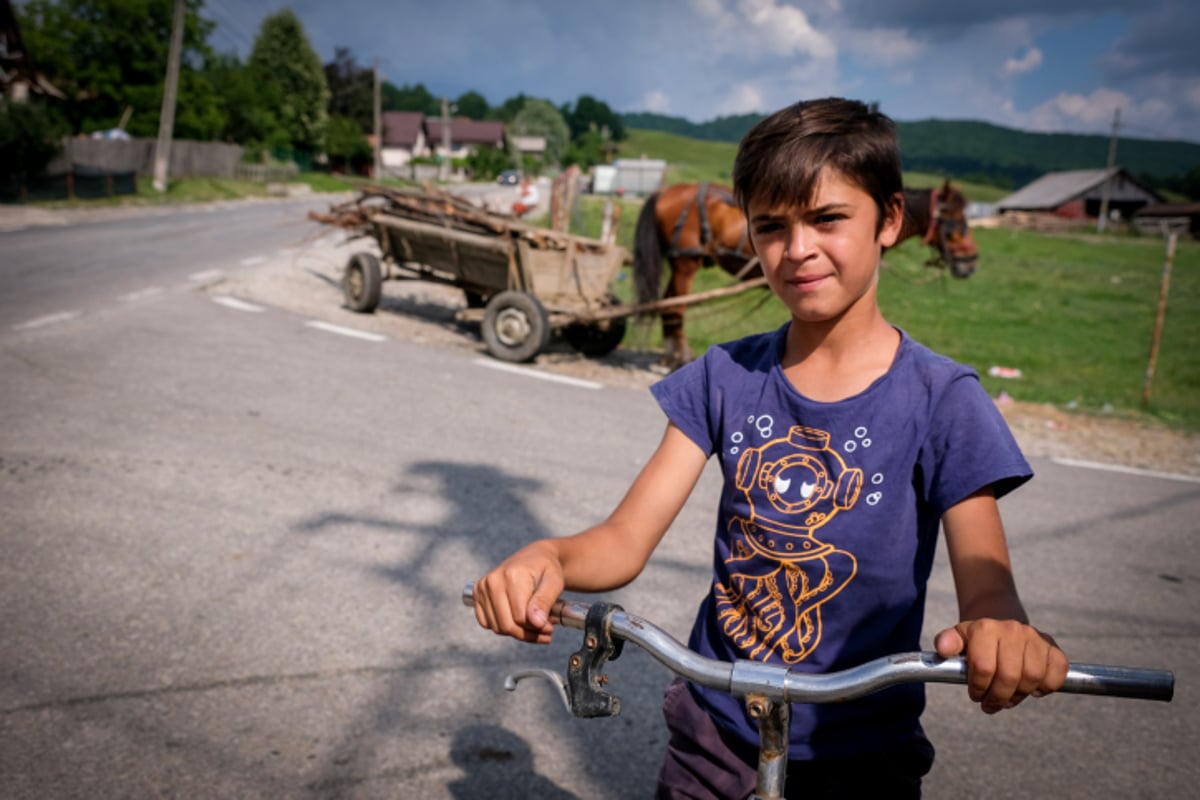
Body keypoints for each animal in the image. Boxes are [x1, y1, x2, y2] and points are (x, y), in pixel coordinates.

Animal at [633, 179, 979, 364]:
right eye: (955, 222)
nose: (970, 262)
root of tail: (666, 191)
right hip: (686, 262)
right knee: (674, 305)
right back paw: (678, 354)